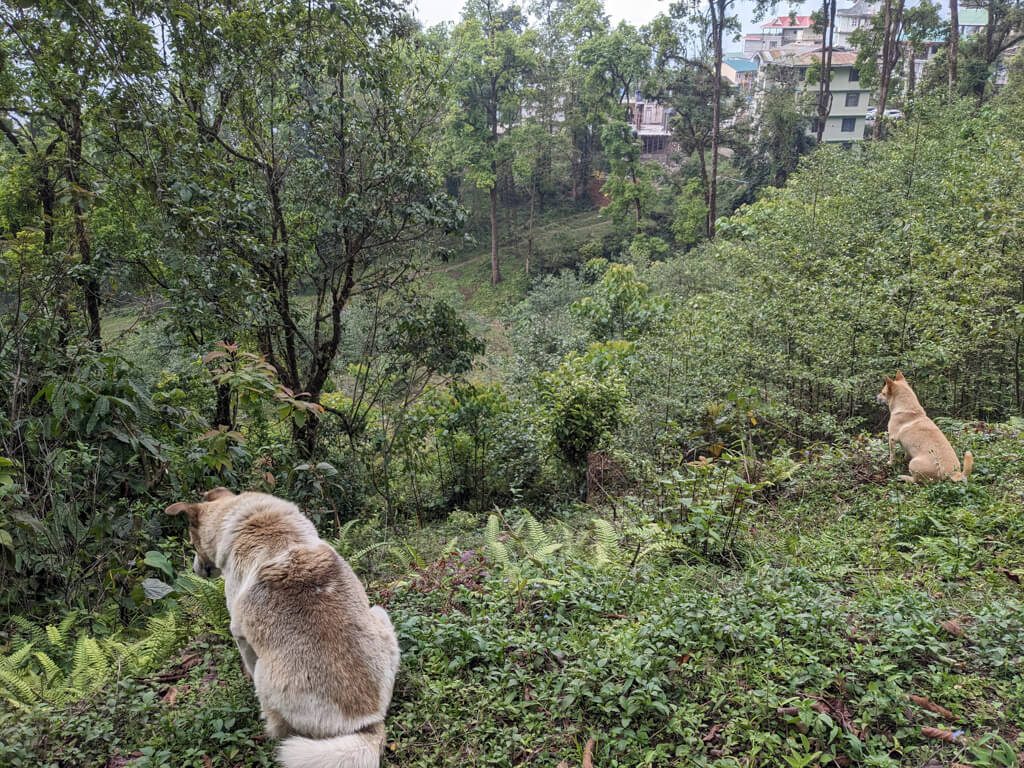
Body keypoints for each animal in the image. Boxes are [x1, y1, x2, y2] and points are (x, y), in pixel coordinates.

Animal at [165, 489, 397, 768]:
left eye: (191, 543)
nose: (194, 569)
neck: (252, 519)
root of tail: (368, 722)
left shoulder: (239, 634)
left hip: (265, 677)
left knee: (277, 726)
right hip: (380, 615)